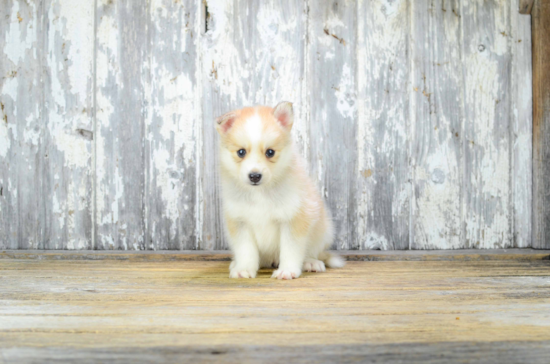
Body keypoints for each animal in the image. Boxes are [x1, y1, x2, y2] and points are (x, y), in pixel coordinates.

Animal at [216, 101, 344, 280]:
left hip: (323, 231)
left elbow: (290, 250)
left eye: (270, 152)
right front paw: (244, 269)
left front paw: (287, 270)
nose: (254, 176)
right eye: (241, 152)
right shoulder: (240, 222)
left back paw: (311, 263)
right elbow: (246, 250)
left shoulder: (293, 219)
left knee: (313, 252)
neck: (260, 193)